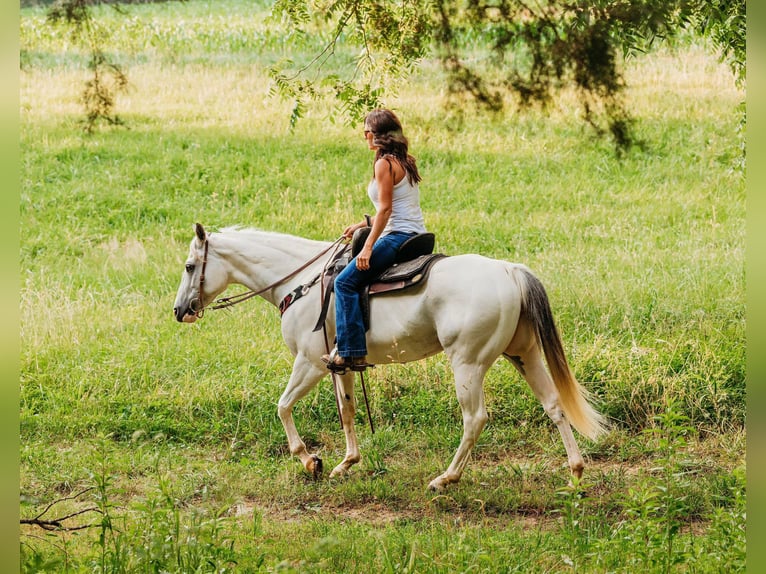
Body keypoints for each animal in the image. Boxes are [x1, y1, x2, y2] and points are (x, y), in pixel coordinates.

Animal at [174, 224, 608, 490]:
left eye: (190, 265)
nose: (180, 311)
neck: (301, 282)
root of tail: (509, 270)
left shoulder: (309, 362)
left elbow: (282, 406)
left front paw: (309, 461)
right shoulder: (339, 365)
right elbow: (347, 411)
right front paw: (346, 463)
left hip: (468, 364)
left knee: (475, 419)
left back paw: (446, 479)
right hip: (523, 355)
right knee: (554, 406)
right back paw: (575, 473)